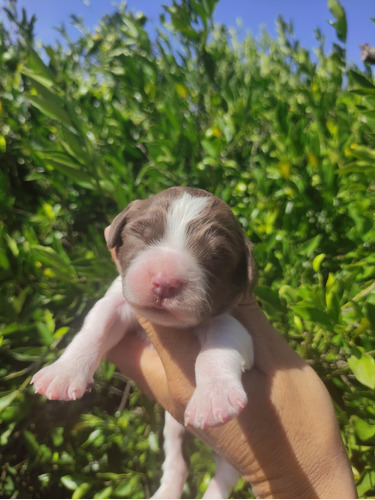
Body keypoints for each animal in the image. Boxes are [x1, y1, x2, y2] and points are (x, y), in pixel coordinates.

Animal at [32, 187, 258, 496]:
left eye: (218, 255)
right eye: (140, 233)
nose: (165, 281)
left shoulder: (231, 321)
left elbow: (216, 350)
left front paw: (214, 397)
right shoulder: (116, 300)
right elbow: (94, 327)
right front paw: (63, 373)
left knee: (225, 475)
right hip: (172, 429)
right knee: (177, 462)